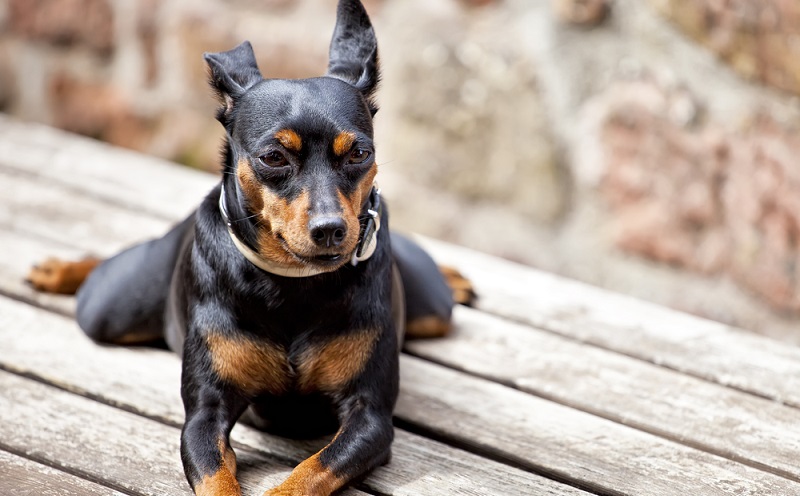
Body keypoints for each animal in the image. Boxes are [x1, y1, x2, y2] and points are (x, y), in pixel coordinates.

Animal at [26, 0, 476, 496]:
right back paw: (60, 270)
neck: (294, 283)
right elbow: (217, 476)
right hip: (108, 307)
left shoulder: (370, 416)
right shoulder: (205, 413)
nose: (332, 230)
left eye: (360, 153)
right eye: (273, 157)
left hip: (432, 309)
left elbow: (313, 469)